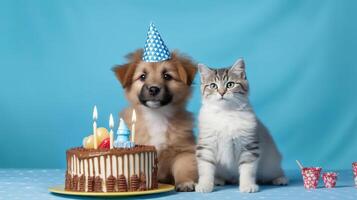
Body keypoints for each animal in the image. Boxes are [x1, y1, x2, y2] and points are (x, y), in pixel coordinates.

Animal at [112, 48, 197, 192]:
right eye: (142, 76)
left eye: (167, 76)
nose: (153, 89)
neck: (157, 115)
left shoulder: (184, 151)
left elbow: (183, 168)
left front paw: (185, 182)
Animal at [193, 58, 288, 193]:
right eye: (213, 86)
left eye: (230, 84)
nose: (221, 92)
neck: (226, 113)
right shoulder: (206, 145)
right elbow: (205, 168)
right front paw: (205, 185)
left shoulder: (249, 145)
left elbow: (247, 169)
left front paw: (247, 185)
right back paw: (218, 180)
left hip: (270, 164)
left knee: (275, 172)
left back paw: (280, 179)